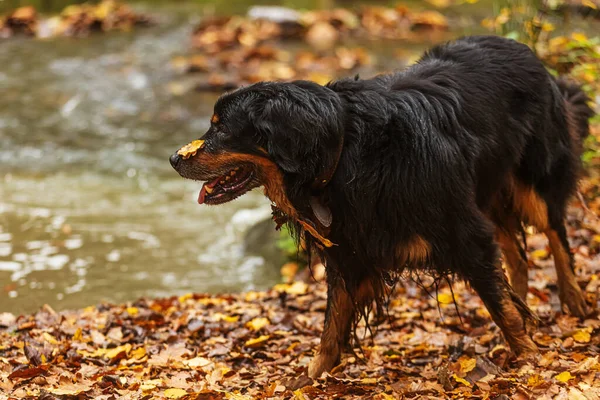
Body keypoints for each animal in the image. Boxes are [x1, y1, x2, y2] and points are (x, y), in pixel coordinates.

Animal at [171, 35, 592, 378]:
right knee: (515, 252)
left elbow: (498, 303)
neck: (346, 153)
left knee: (555, 233)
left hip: (534, 180)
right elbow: (333, 325)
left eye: (221, 128)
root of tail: (521, 48)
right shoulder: (349, 251)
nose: (174, 159)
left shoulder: (465, 231)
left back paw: (572, 299)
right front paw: (312, 377)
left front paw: (531, 359)